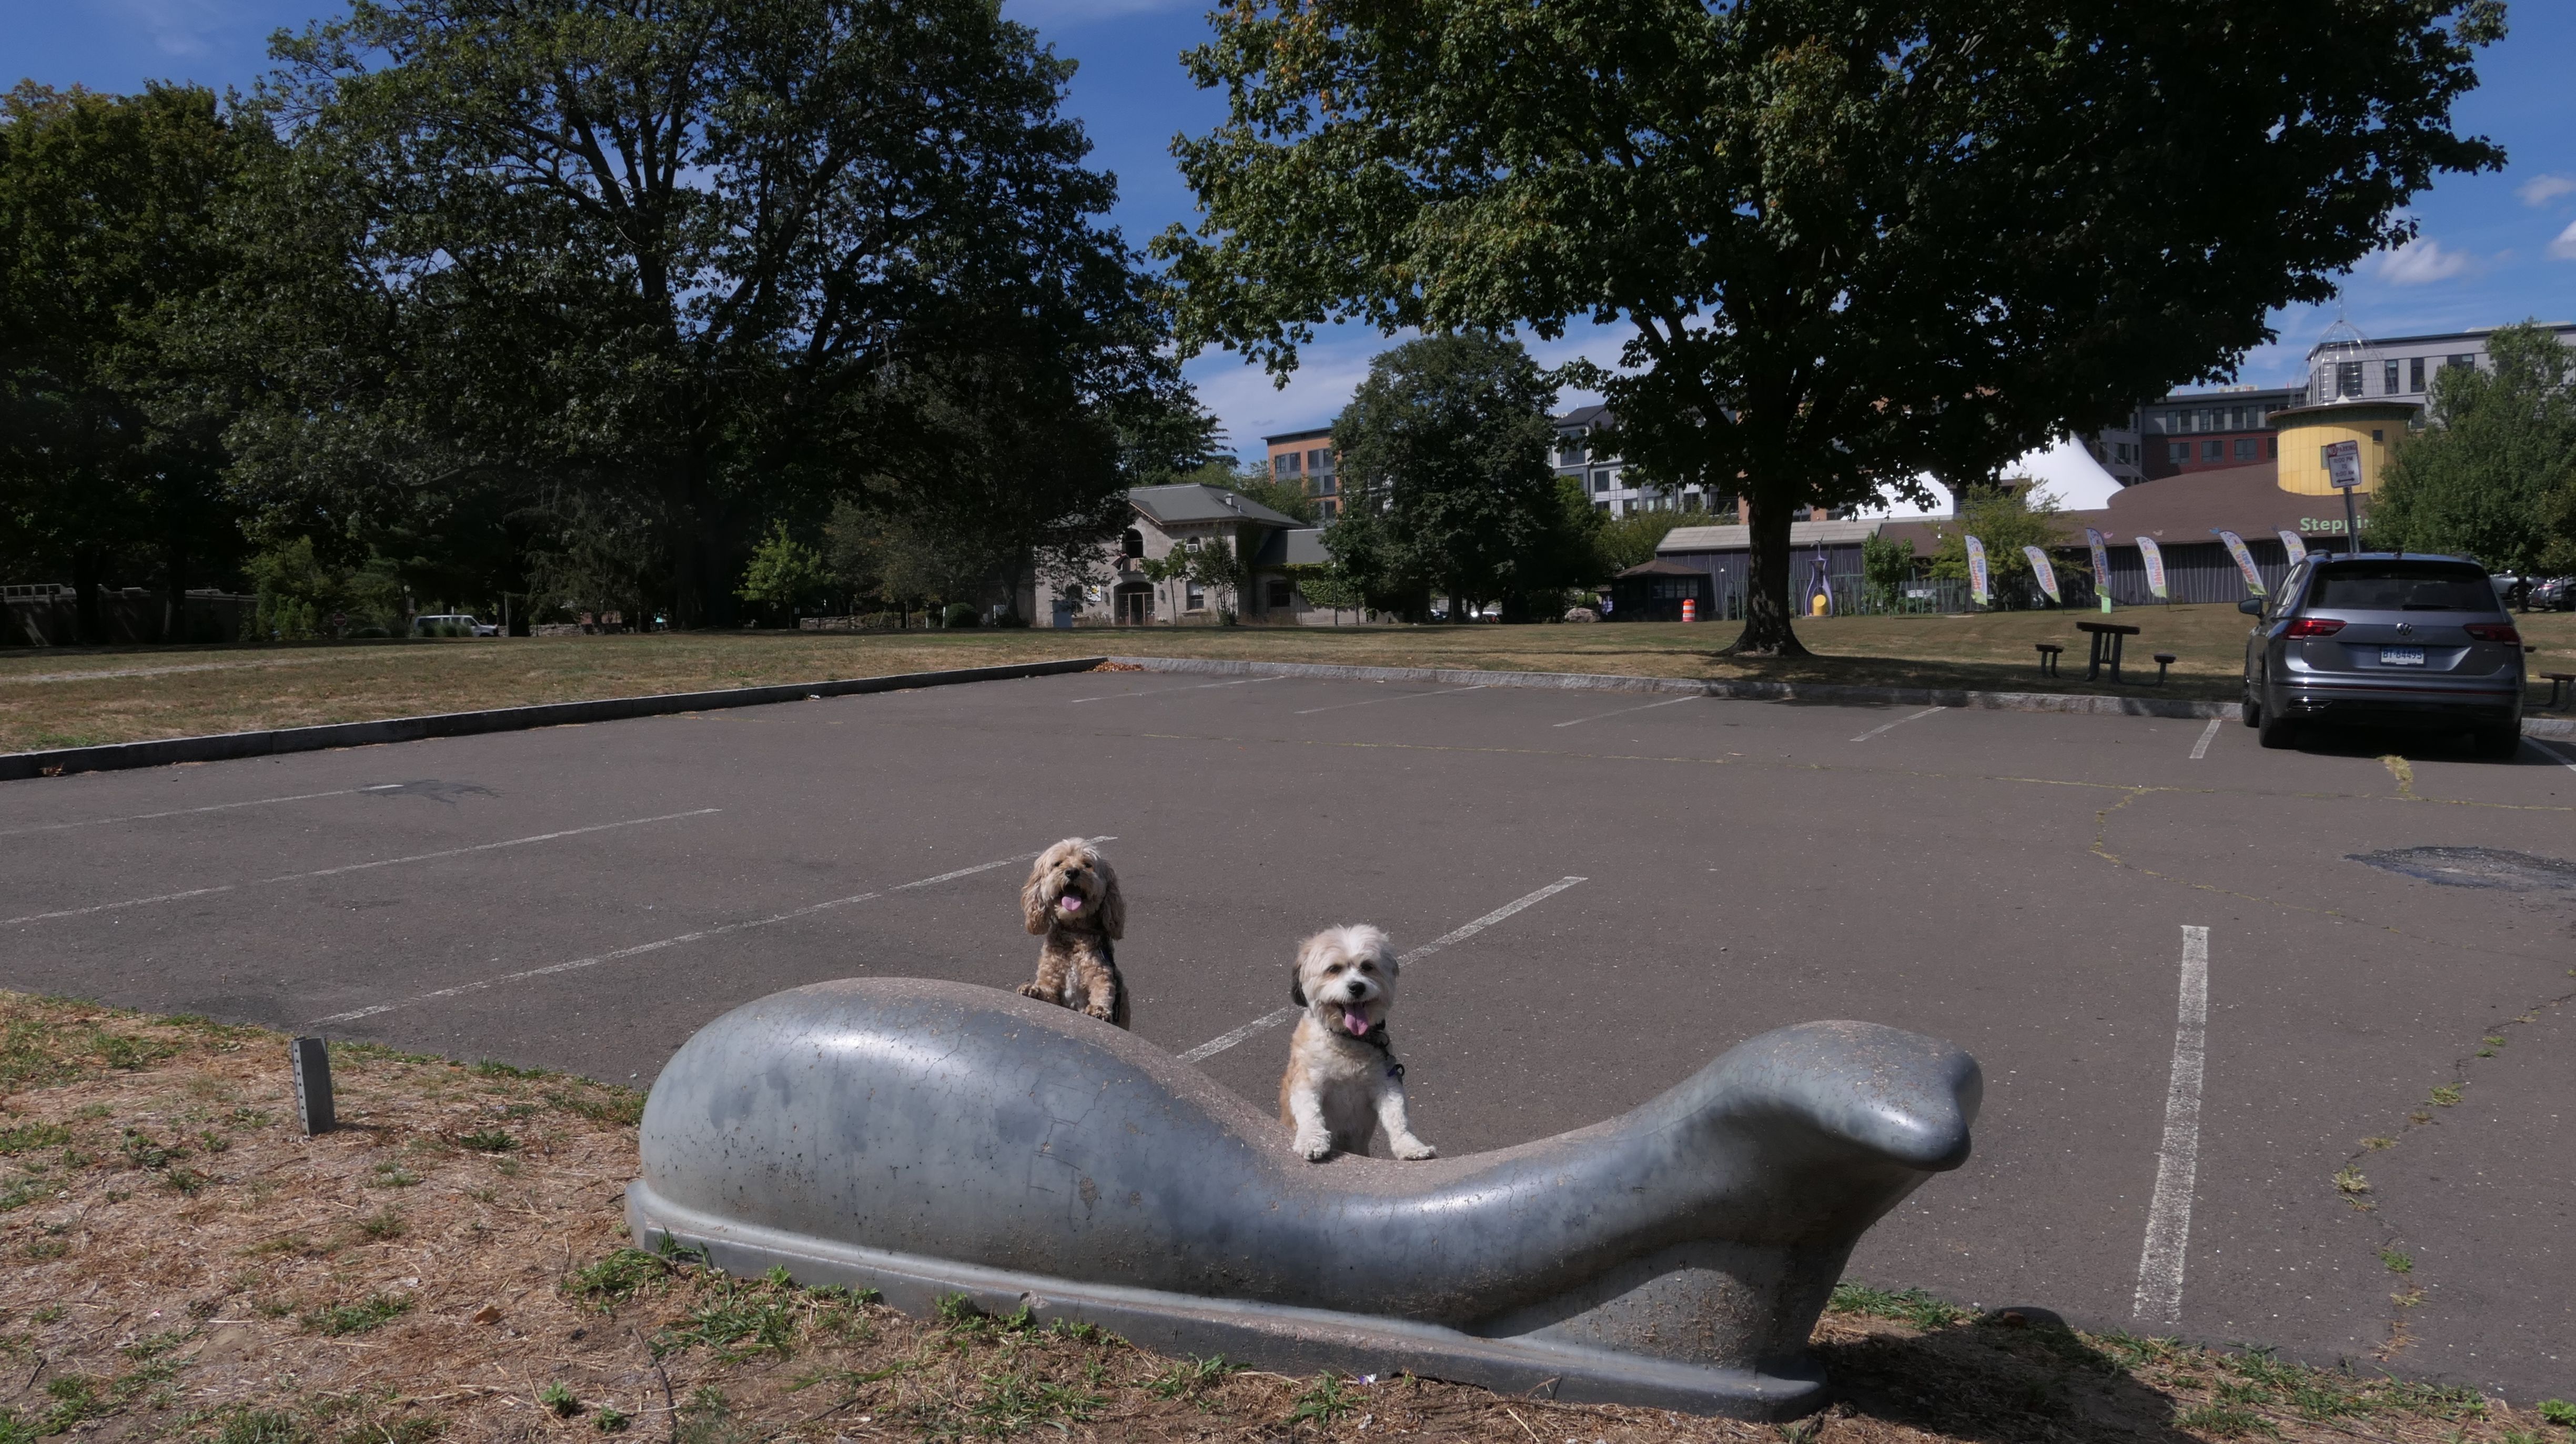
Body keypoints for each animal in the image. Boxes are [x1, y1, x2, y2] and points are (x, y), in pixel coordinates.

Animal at [1018, 838, 1128, 1028]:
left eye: (1087, 864)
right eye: (1058, 863)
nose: (1072, 872)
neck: (1075, 931)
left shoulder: (1102, 974)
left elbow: (1103, 992)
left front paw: (1099, 1009)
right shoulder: (1052, 981)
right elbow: (1047, 991)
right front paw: (1033, 989)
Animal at [1277, 924, 1436, 1162]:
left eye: (1367, 967)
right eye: (1333, 969)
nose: (1356, 987)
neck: (1348, 1041)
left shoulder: (1386, 1082)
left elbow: (1398, 1118)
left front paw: (1410, 1146)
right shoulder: (1307, 1081)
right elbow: (1310, 1113)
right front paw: (1311, 1141)